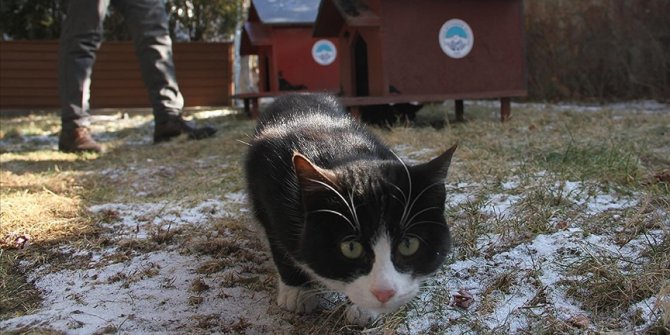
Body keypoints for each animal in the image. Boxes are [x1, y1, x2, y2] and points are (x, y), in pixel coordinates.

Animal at [244, 94, 460, 326]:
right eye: (351, 247)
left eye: (408, 244)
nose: (384, 293)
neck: (344, 152)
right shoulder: (266, 183)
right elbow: (277, 241)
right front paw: (297, 292)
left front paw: (361, 308)